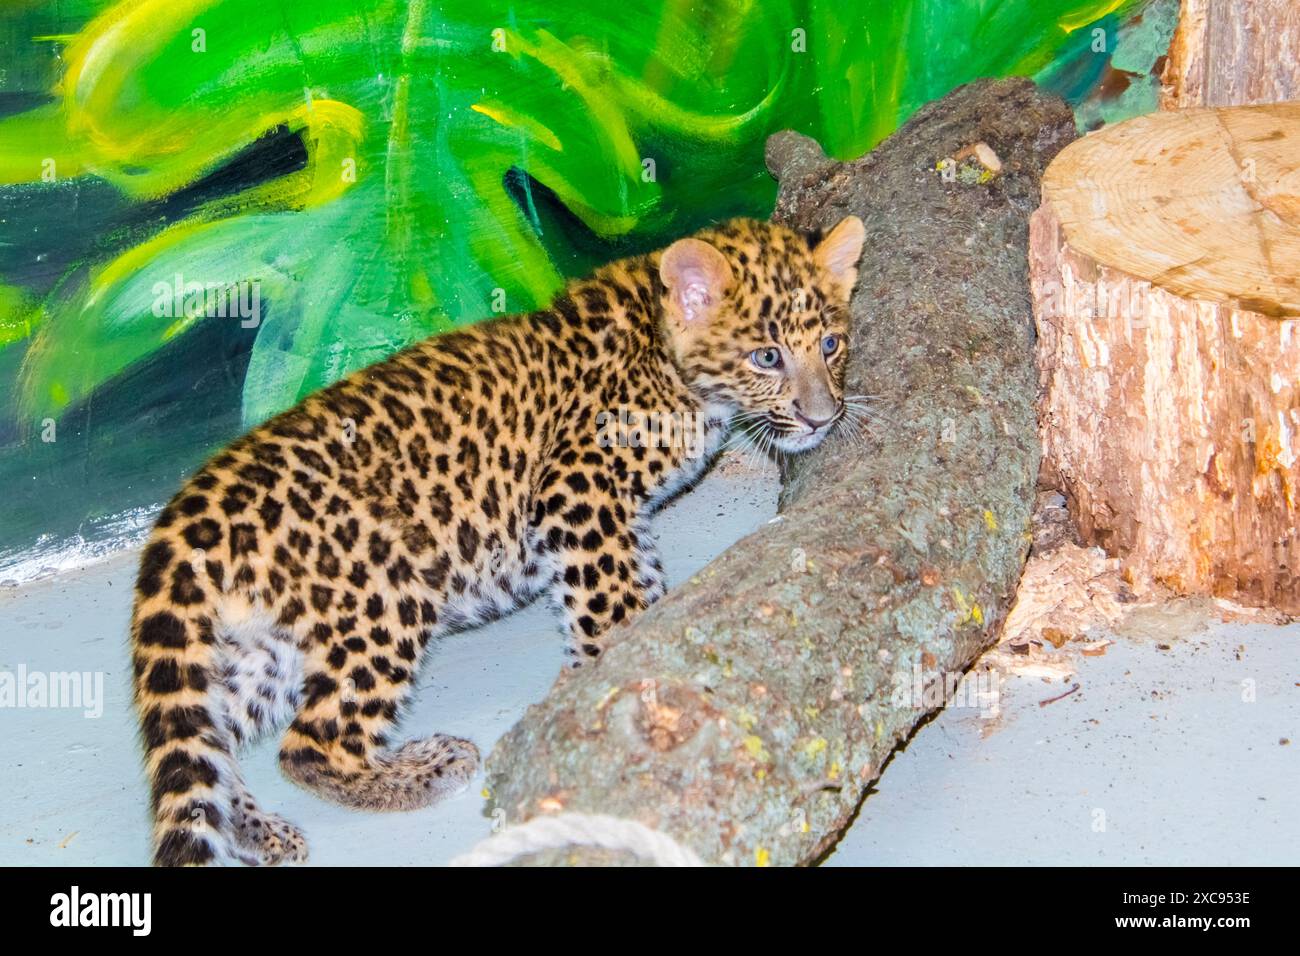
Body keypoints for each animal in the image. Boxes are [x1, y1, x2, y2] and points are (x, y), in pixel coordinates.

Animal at [130, 214, 866, 865]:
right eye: (767, 357)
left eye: (831, 345)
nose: (822, 416)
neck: (665, 353)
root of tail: (187, 513)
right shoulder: (578, 490)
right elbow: (608, 601)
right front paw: (611, 673)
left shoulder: (618, 518)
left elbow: (635, 581)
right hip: (381, 599)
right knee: (310, 745)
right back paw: (425, 768)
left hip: (260, 649)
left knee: (206, 747)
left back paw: (255, 831)